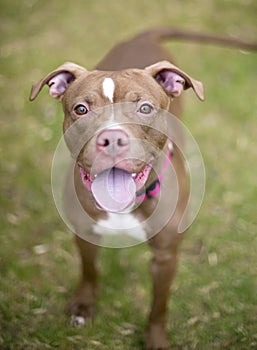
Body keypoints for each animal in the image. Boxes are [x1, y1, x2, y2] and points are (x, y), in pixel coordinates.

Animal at [29, 28, 255, 348]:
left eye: (145, 108)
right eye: (81, 109)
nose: (112, 139)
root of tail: (144, 36)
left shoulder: (165, 257)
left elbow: (159, 306)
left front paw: (156, 338)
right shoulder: (85, 234)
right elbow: (89, 272)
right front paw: (84, 307)